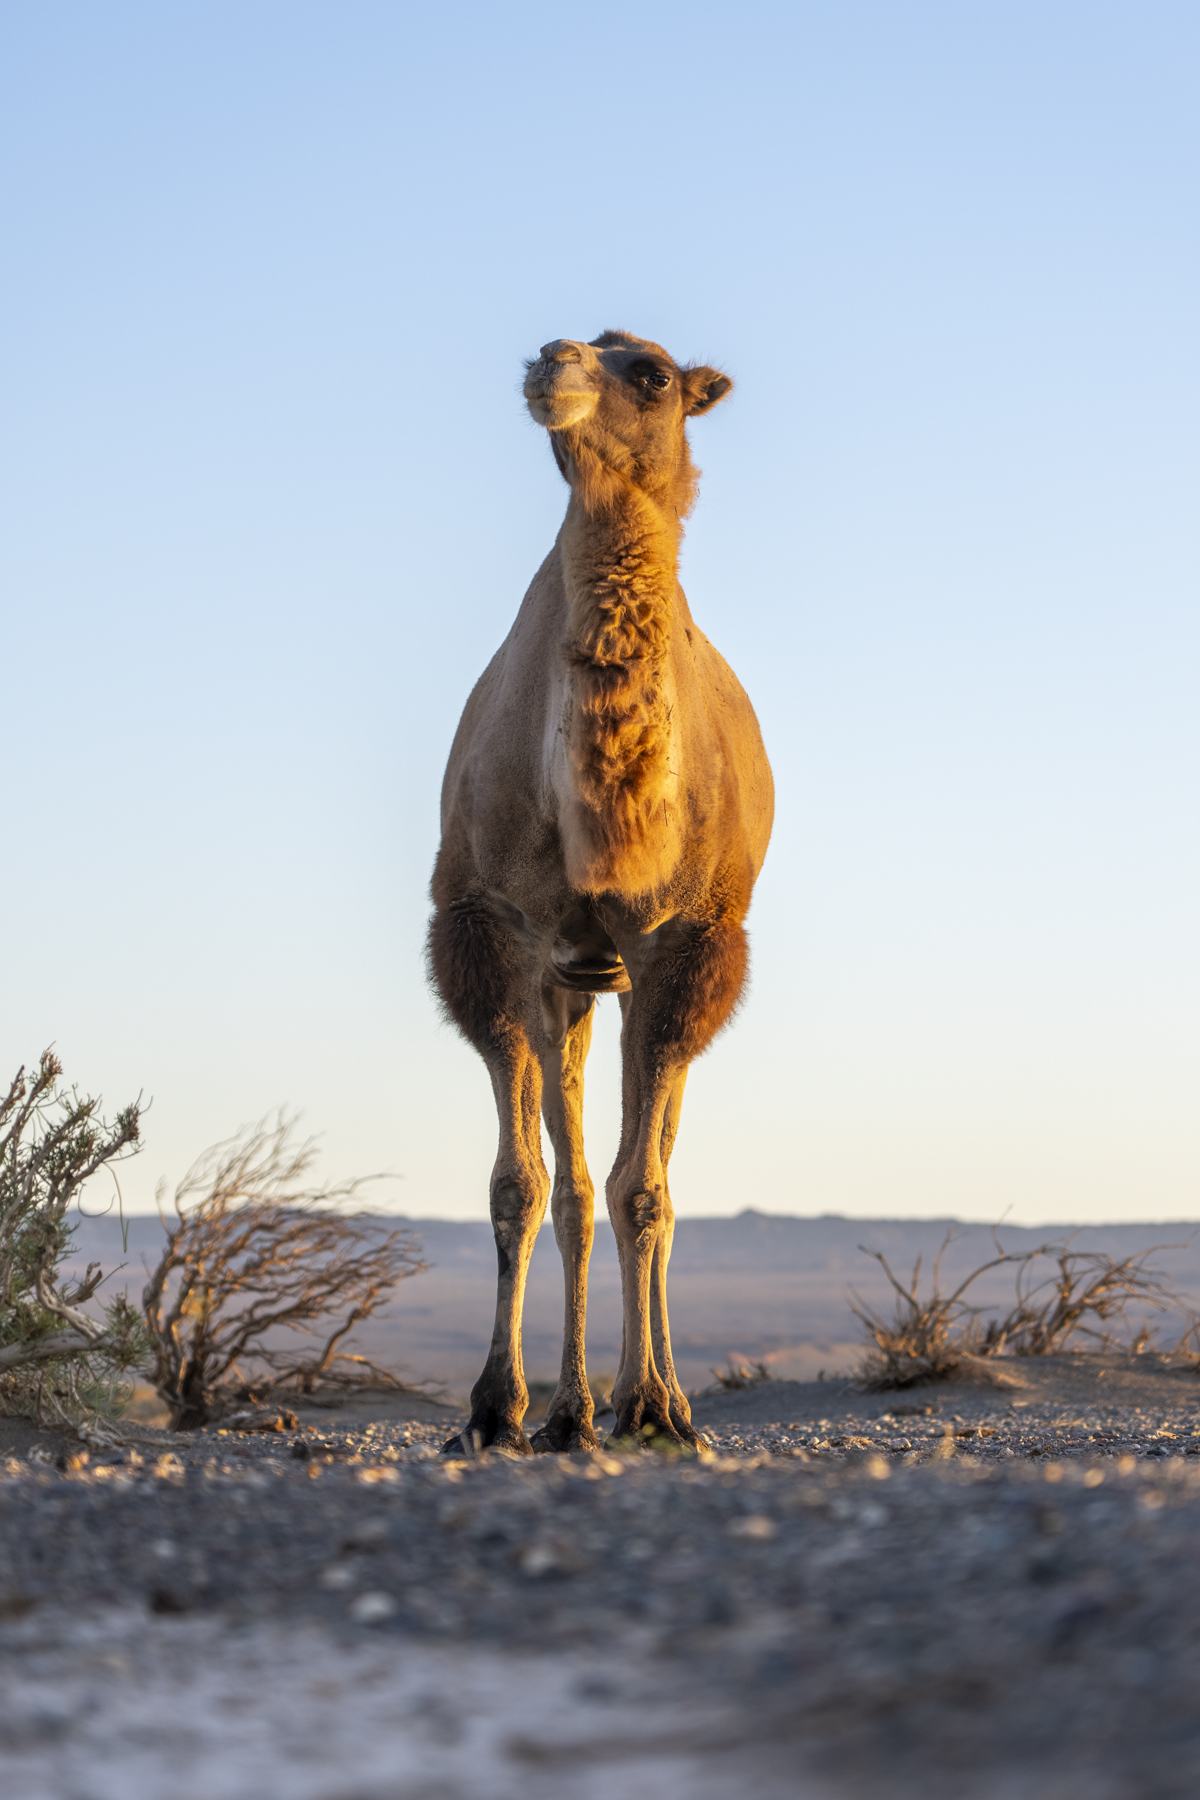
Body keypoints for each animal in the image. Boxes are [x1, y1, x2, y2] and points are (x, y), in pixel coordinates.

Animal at [427, 330, 773, 1455]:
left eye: (653, 374)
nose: (553, 361)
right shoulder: (497, 933)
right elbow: (531, 1185)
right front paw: (501, 1407)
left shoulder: (688, 941)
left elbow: (644, 1191)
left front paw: (653, 1404)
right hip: (576, 981)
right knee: (579, 1180)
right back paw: (574, 1407)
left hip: (662, 982)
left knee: (649, 1172)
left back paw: (655, 1399)